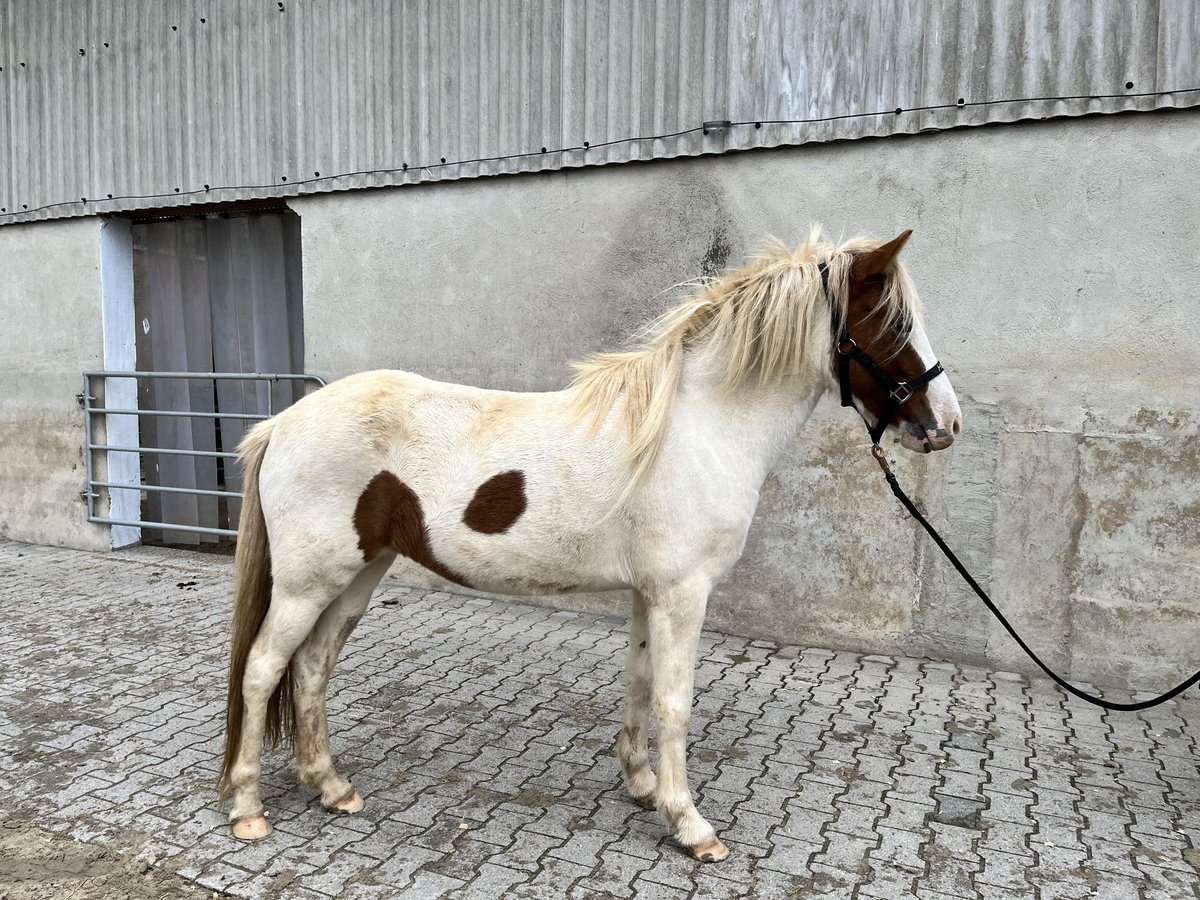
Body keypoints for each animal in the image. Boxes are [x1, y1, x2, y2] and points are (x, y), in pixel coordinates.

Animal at [220, 225, 960, 859]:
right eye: (894, 325)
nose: (946, 425)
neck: (699, 429)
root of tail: (283, 423)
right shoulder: (683, 594)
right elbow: (674, 701)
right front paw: (691, 824)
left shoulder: (647, 593)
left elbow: (638, 681)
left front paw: (643, 786)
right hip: (307, 583)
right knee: (262, 670)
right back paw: (249, 809)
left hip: (356, 576)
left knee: (310, 668)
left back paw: (331, 787)